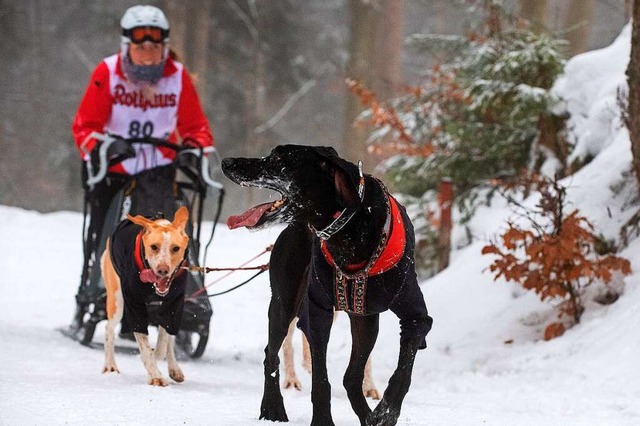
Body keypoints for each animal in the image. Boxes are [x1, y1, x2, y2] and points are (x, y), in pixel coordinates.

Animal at [100, 206, 190, 386]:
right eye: (154, 247)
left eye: (176, 248)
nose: (163, 270)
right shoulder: (134, 305)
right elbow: (145, 346)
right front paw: (155, 375)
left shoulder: (174, 305)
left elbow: (164, 339)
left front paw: (159, 359)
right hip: (117, 301)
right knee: (109, 329)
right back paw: (110, 365)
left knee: (169, 339)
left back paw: (174, 368)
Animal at [221, 145, 436, 424]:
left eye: (278, 157)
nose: (226, 162)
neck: (351, 232)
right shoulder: (317, 313)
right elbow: (321, 380)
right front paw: (323, 420)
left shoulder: (415, 317)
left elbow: (402, 372)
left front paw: (385, 412)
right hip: (284, 304)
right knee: (271, 354)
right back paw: (273, 406)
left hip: (365, 321)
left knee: (351, 377)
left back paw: (367, 414)